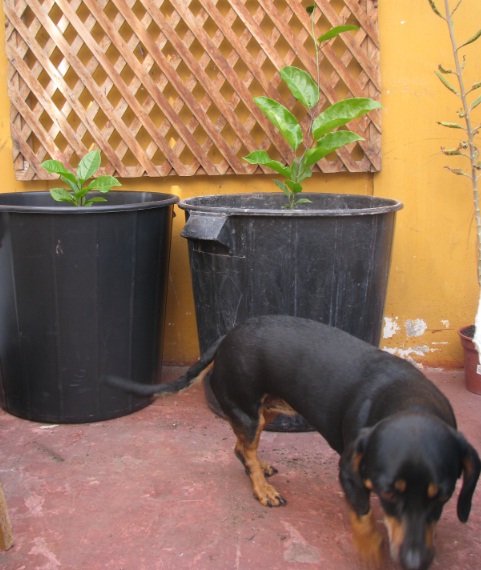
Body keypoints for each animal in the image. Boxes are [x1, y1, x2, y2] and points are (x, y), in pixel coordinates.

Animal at [106, 316, 480, 568]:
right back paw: (262, 489)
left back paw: (260, 468)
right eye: (388, 493)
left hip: (265, 412)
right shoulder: (350, 472)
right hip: (249, 413)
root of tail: (228, 335)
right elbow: (362, 516)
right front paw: (370, 550)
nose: (416, 561)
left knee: (241, 449)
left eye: (443, 496)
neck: (407, 399)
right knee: (245, 450)